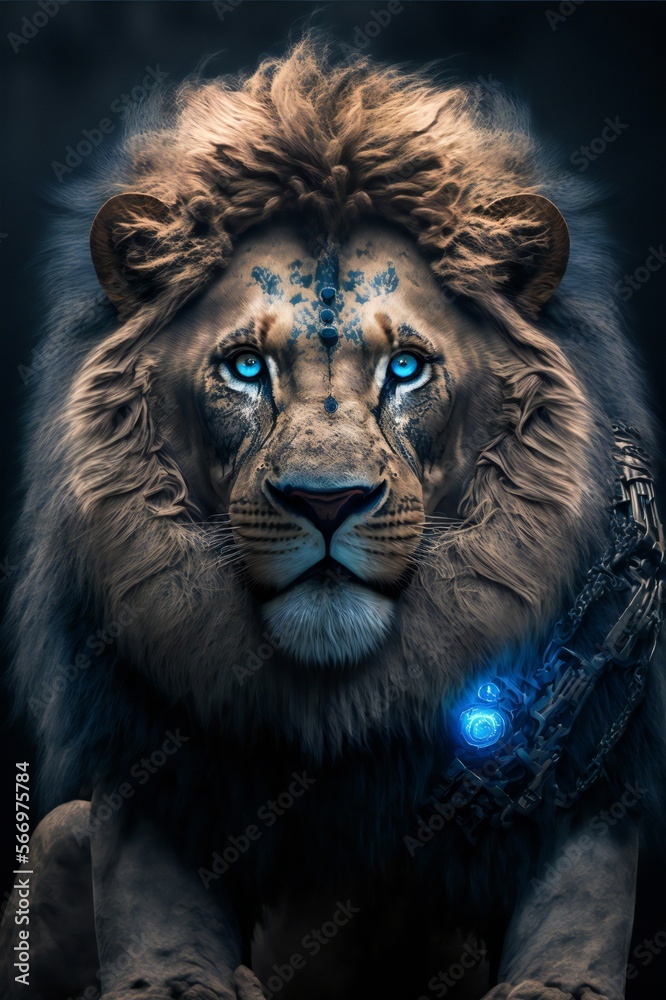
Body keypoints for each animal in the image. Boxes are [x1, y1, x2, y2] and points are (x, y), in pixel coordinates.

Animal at [2, 39, 664, 1000]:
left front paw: (558, 985)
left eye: (406, 367)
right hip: (58, 831)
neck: (342, 703)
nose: (325, 501)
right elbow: (153, 914)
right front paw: (178, 981)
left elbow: (580, 906)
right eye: (245, 367)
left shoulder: (596, 769)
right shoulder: (148, 764)